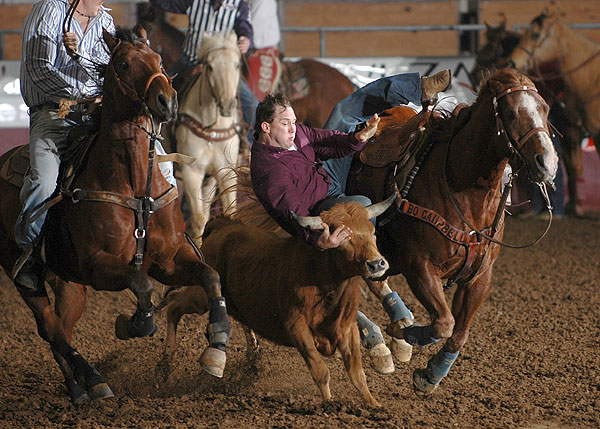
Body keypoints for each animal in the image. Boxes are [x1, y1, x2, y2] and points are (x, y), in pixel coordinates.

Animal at [0, 28, 230, 402]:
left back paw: (78, 387)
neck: (134, 186)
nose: (167, 101)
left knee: (59, 327)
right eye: (123, 64)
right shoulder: (98, 265)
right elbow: (142, 284)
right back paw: (94, 379)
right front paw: (132, 323)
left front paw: (217, 349)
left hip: (69, 283)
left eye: (159, 59)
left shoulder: (168, 261)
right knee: (50, 326)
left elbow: (210, 276)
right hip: (22, 273)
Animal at [346, 68, 556, 392]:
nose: (548, 162)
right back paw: (383, 337)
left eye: (545, 109)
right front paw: (405, 334)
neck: (465, 193)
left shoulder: (480, 276)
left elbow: (459, 332)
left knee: (375, 282)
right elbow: (444, 323)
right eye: (509, 113)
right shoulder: (419, 267)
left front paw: (430, 373)